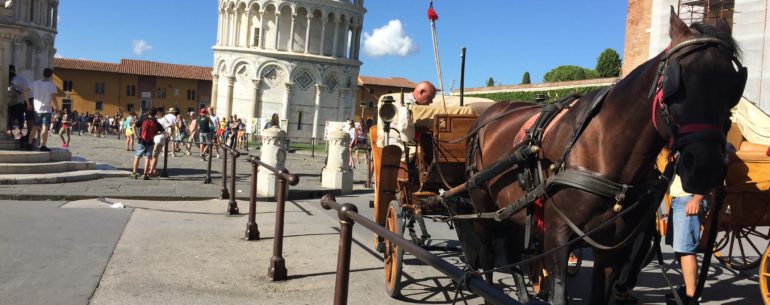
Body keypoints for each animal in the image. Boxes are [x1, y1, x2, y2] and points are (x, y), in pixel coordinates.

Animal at [460, 9, 748, 304]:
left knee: (512, 251)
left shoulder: (612, 248)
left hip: (514, 210)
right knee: (488, 257)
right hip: (482, 208)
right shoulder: (557, 238)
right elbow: (558, 291)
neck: (604, 154)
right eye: (676, 83)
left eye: (734, 87)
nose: (705, 169)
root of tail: (487, 114)